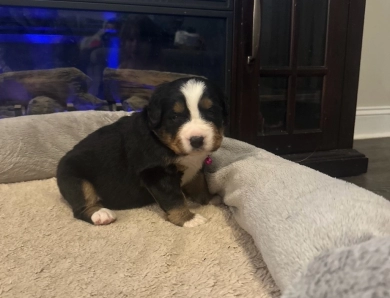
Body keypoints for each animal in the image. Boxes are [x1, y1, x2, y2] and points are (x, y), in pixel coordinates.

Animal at [56, 77, 227, 228]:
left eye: (211, 112)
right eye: (175, 116)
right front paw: (188, 219)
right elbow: (175, 199)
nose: (197, 140)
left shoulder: (195, 167)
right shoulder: (156, 173)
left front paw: (209, 199)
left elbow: (200, 184)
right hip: (75, 178)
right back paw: (100, 214)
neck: (162, 141)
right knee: (82, 206)